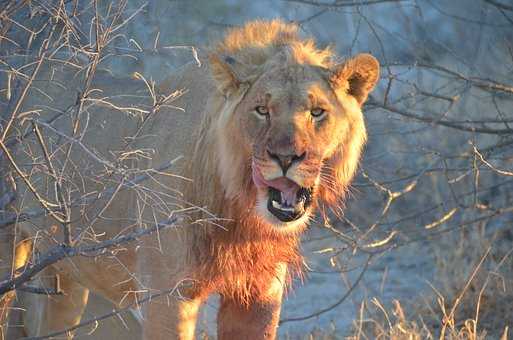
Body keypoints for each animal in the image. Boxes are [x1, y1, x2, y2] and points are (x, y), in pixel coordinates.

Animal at [6, 19, 378, 338]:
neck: (239, 209)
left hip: (65, 275)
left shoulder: (260, 294)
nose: (286, 158)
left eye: (317, 112)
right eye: (261, 110)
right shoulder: (168, 297)